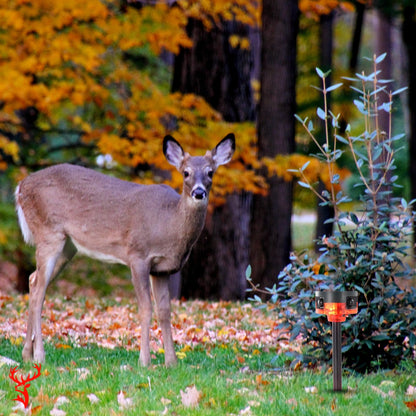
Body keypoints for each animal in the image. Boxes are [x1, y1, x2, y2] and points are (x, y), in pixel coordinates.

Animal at [15, 134, 234, 368]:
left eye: (211, 172)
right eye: (186, 172)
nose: (199, 192)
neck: (168, 224)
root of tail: (20, 187)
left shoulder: (162, 269)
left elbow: (164, 311)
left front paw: (171, 362)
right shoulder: (137, 255)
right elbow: (145, 308)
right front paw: (145, 361)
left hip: (68, 246)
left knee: (33, 280)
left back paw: (26, 354)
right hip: (49, 233)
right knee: (39, 290)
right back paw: (39, 355)